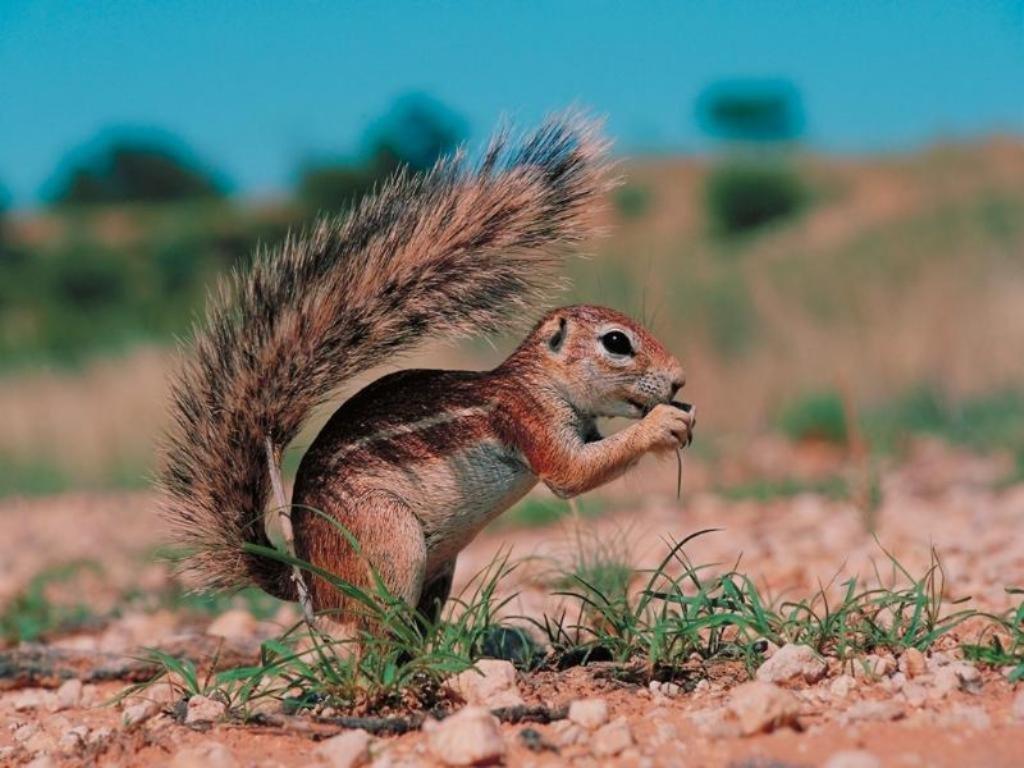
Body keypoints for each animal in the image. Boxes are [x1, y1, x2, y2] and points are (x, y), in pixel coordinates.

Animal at [163, 112, 696, 630]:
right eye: (616, 342)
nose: (679, 380)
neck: (539, 382)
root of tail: (310, 579)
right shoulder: (526, 419)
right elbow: (572, 475)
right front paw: (664, 423)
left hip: (438, 571)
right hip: (388, 541)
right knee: (374, 636)